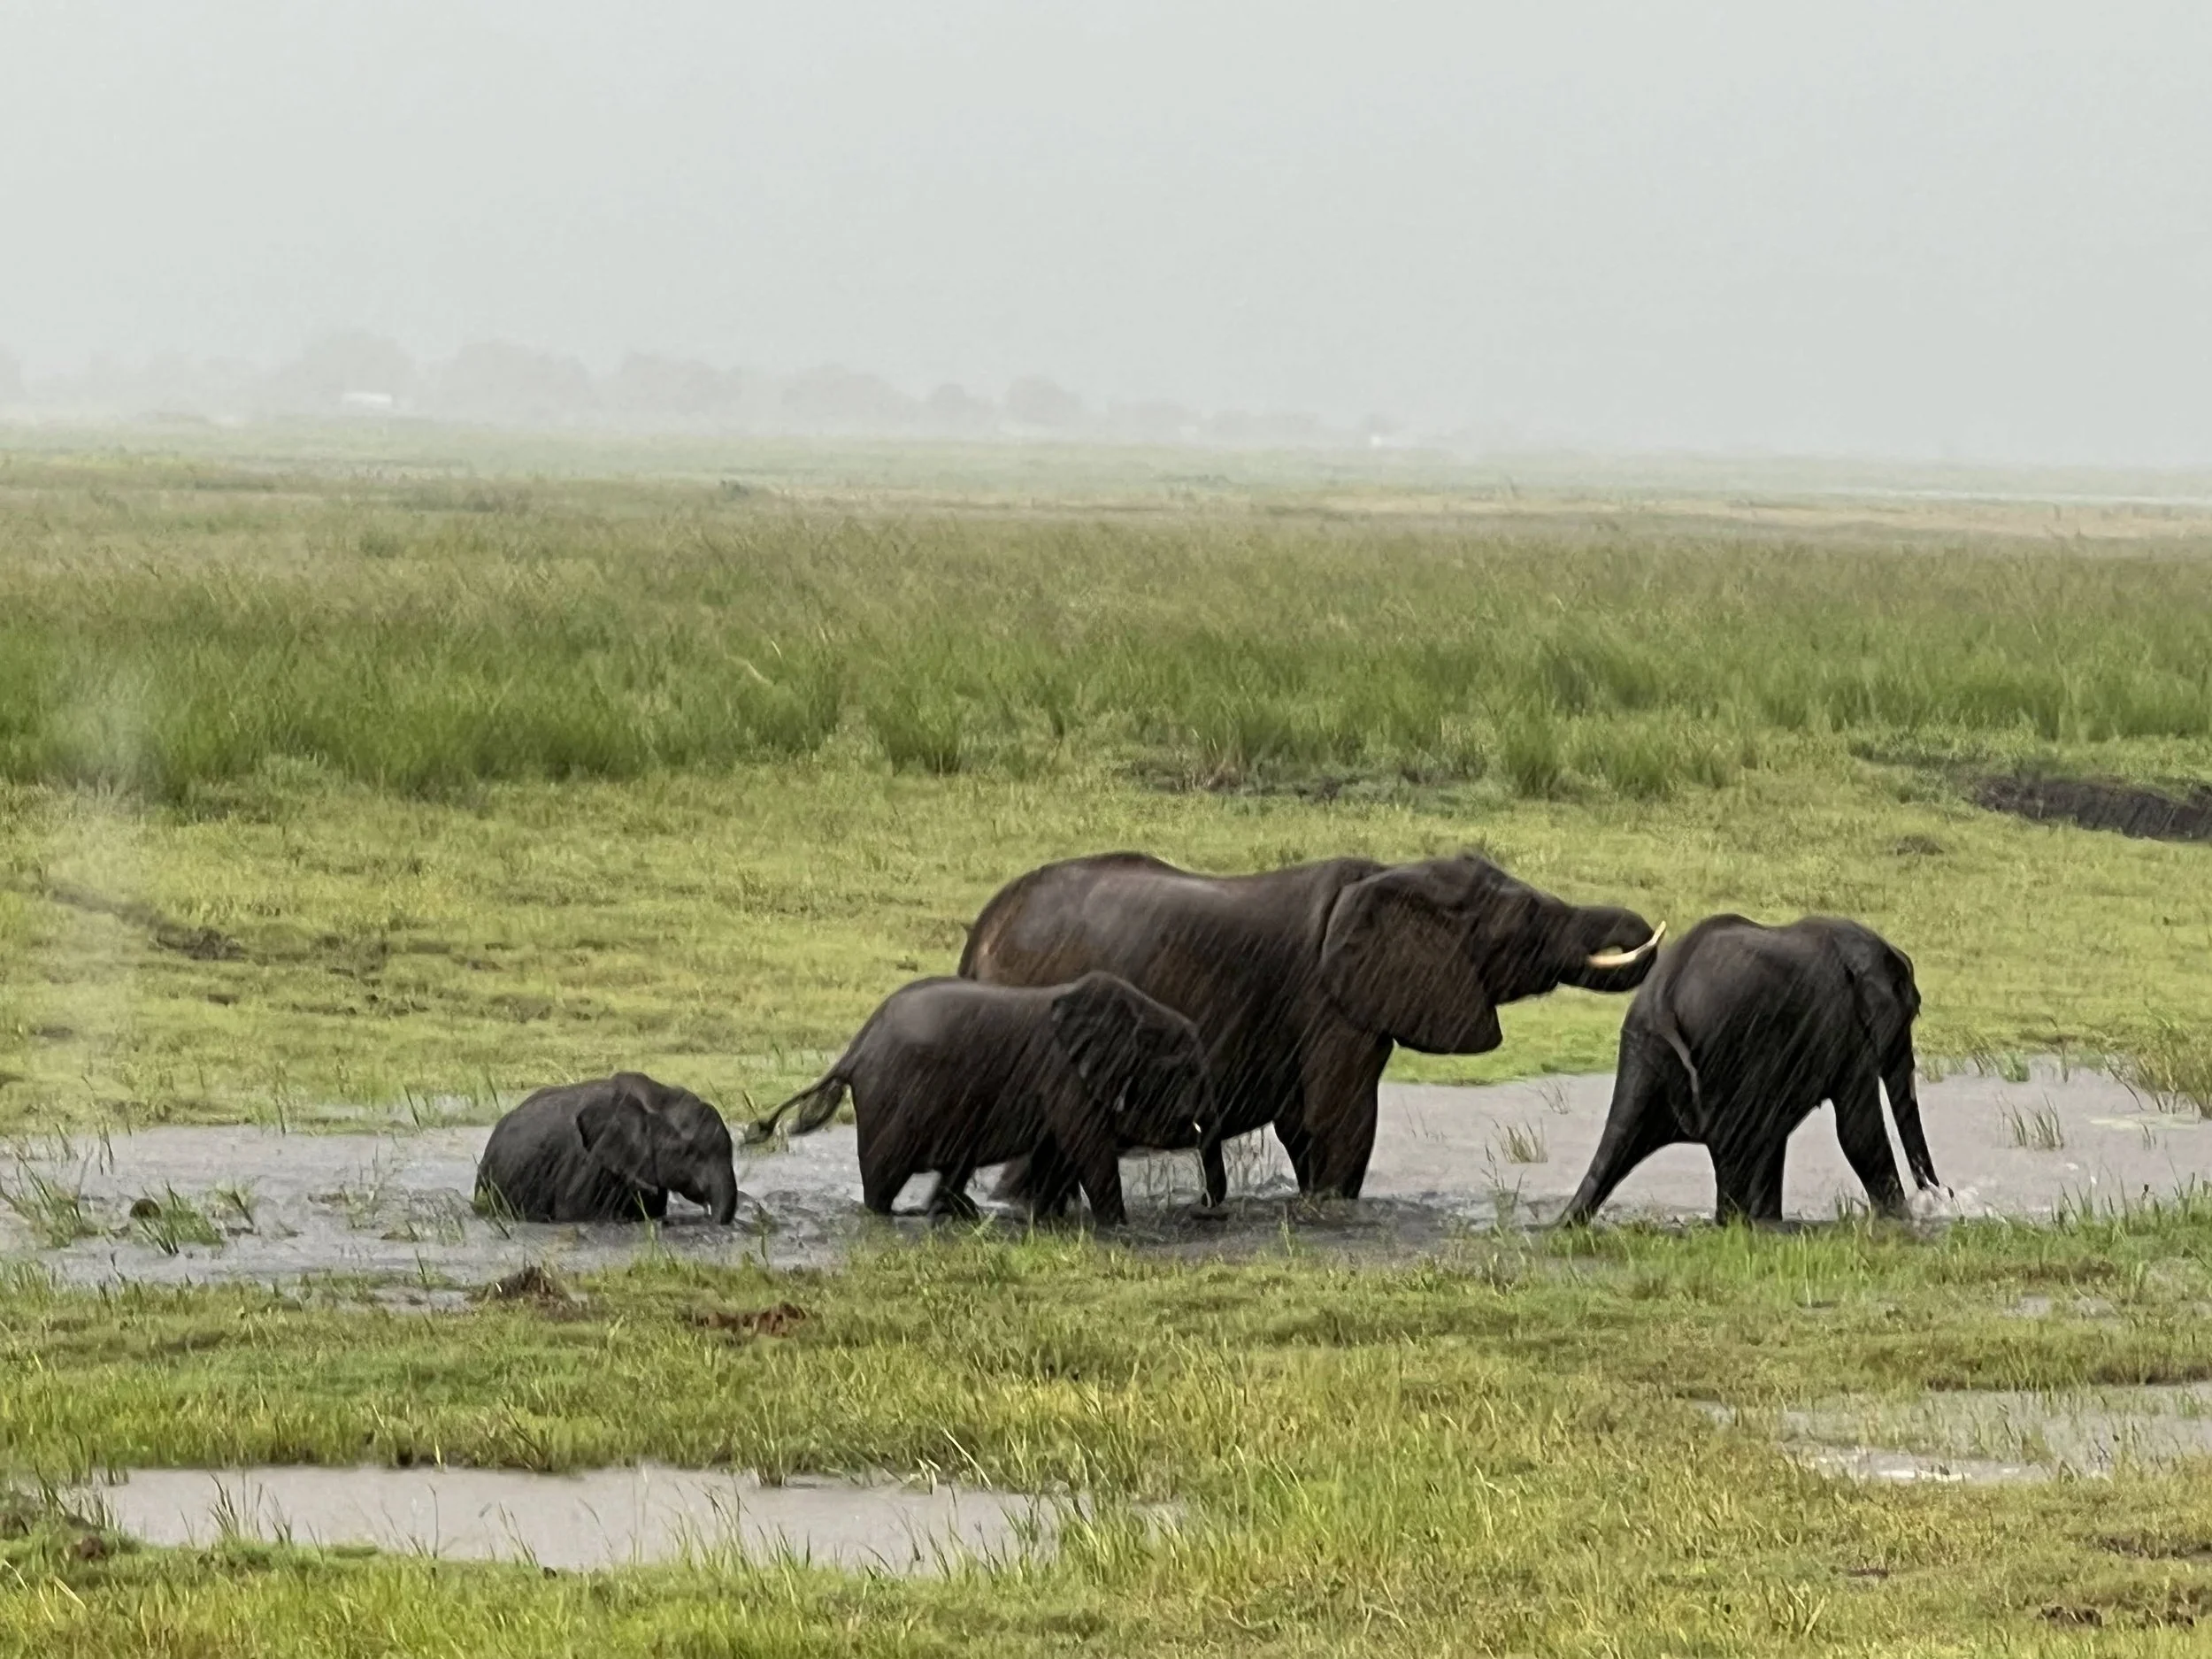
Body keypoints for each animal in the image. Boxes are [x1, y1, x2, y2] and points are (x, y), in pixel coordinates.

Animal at [745, 971, 1218, 1226]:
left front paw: (1044, 1220)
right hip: (889, 1101)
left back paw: (955, 1212)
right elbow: (1087, 1147)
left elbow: (1055, 1152)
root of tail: (854, 1050)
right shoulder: (1064, 1074)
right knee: (883, 1180)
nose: (1205, 1209)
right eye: (1187, 1072)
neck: (1136, 1010)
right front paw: (1117, 1227)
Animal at [958, 850, 1664, 1205]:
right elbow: (1340, 1123)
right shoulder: (1331, 1004)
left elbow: (1307, 1126)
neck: (1395, 873)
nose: (1653, 929)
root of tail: (983, 932)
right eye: (1527, 921)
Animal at [1557, 914, 1939, 1226]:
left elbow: (1775, 1135)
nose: (1937, 1195)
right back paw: (1733, 1225)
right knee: (1731, 1152)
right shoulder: (1848, 1034)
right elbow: (1858, 1134)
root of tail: (1663, 997)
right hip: (1722, 1048)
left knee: (1617, 1145)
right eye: (1913, 1012)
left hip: (1645, 1051)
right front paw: (1902, 1223)